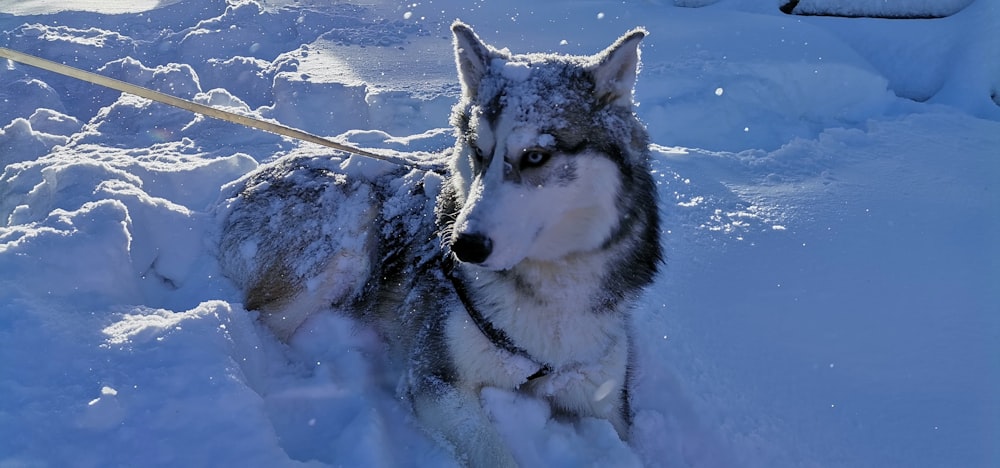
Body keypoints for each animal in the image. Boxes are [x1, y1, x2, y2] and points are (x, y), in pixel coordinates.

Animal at [217, 22, 664, 468]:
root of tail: (249, 180)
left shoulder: (605, 399)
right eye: (478, 152)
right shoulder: (435, 379)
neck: (545, 293)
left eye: (536, 156)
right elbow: (495, 453)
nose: (464, 246)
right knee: (261, 320)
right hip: (349, 238)